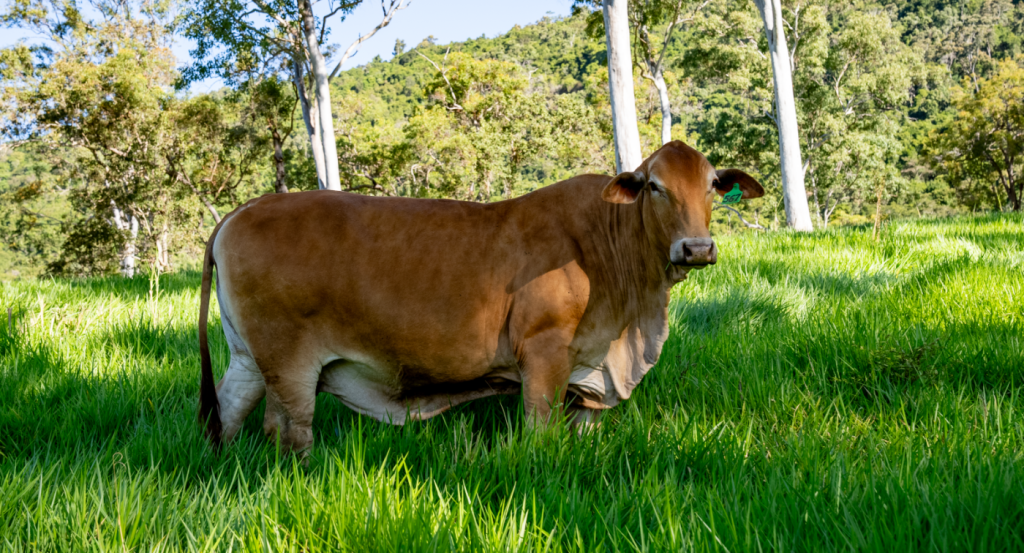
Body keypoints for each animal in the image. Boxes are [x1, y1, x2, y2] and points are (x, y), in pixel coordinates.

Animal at [197, 141, 764, 453]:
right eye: (653, 186)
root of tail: (240, 211)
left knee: (228, 412)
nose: (697, 248)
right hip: (288, 362)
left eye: (713, 185)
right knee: (287, 430)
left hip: (247, 357)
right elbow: (539, 430)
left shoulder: (590, 378)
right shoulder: (544, 353)